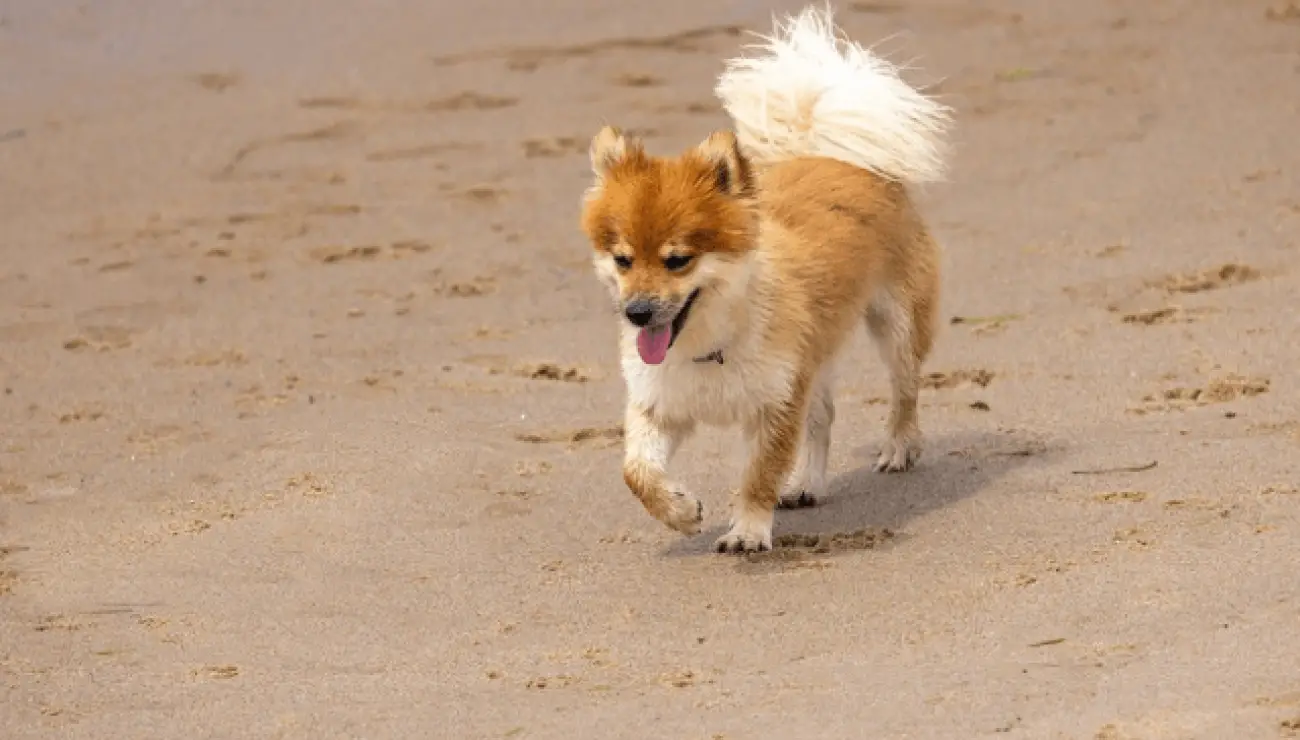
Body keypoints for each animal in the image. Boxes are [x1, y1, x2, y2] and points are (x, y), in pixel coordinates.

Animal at [579, 4, 956, 548]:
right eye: (622, 260)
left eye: (678, 260)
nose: (637, 312)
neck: (708, 343)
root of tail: (840, 158)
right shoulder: (661, 405)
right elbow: (637, 472)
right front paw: (680, 510)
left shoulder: (777, 404)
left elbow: (759, 473)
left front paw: (748, 531)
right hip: (816, 355)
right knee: (824, 418)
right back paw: (807, 484)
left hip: (896, 322)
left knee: (904, 385)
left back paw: (899, 446)